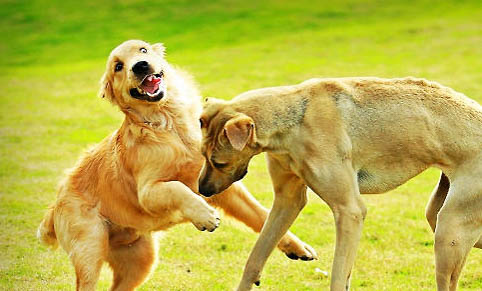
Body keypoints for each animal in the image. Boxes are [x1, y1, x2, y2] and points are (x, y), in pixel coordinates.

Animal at [37, 40, 316, 291]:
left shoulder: (224, 187)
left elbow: (262, 216)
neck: (169, 126)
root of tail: (55, 204)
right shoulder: (148, 192)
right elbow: (177, 188)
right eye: (118, 66)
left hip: (141, 261)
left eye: (142, 50)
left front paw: (297, 246)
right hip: (91, 250)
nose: (140, 66)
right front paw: (204, 216)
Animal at [198, 77, 480, 291]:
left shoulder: (350, 211)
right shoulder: (287, 202)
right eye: (203, 154)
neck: (294, 119)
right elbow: (255, 258)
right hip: (441, 217)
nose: (202, 191)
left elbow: (338, 275)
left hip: (449, 230)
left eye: (219, 162)